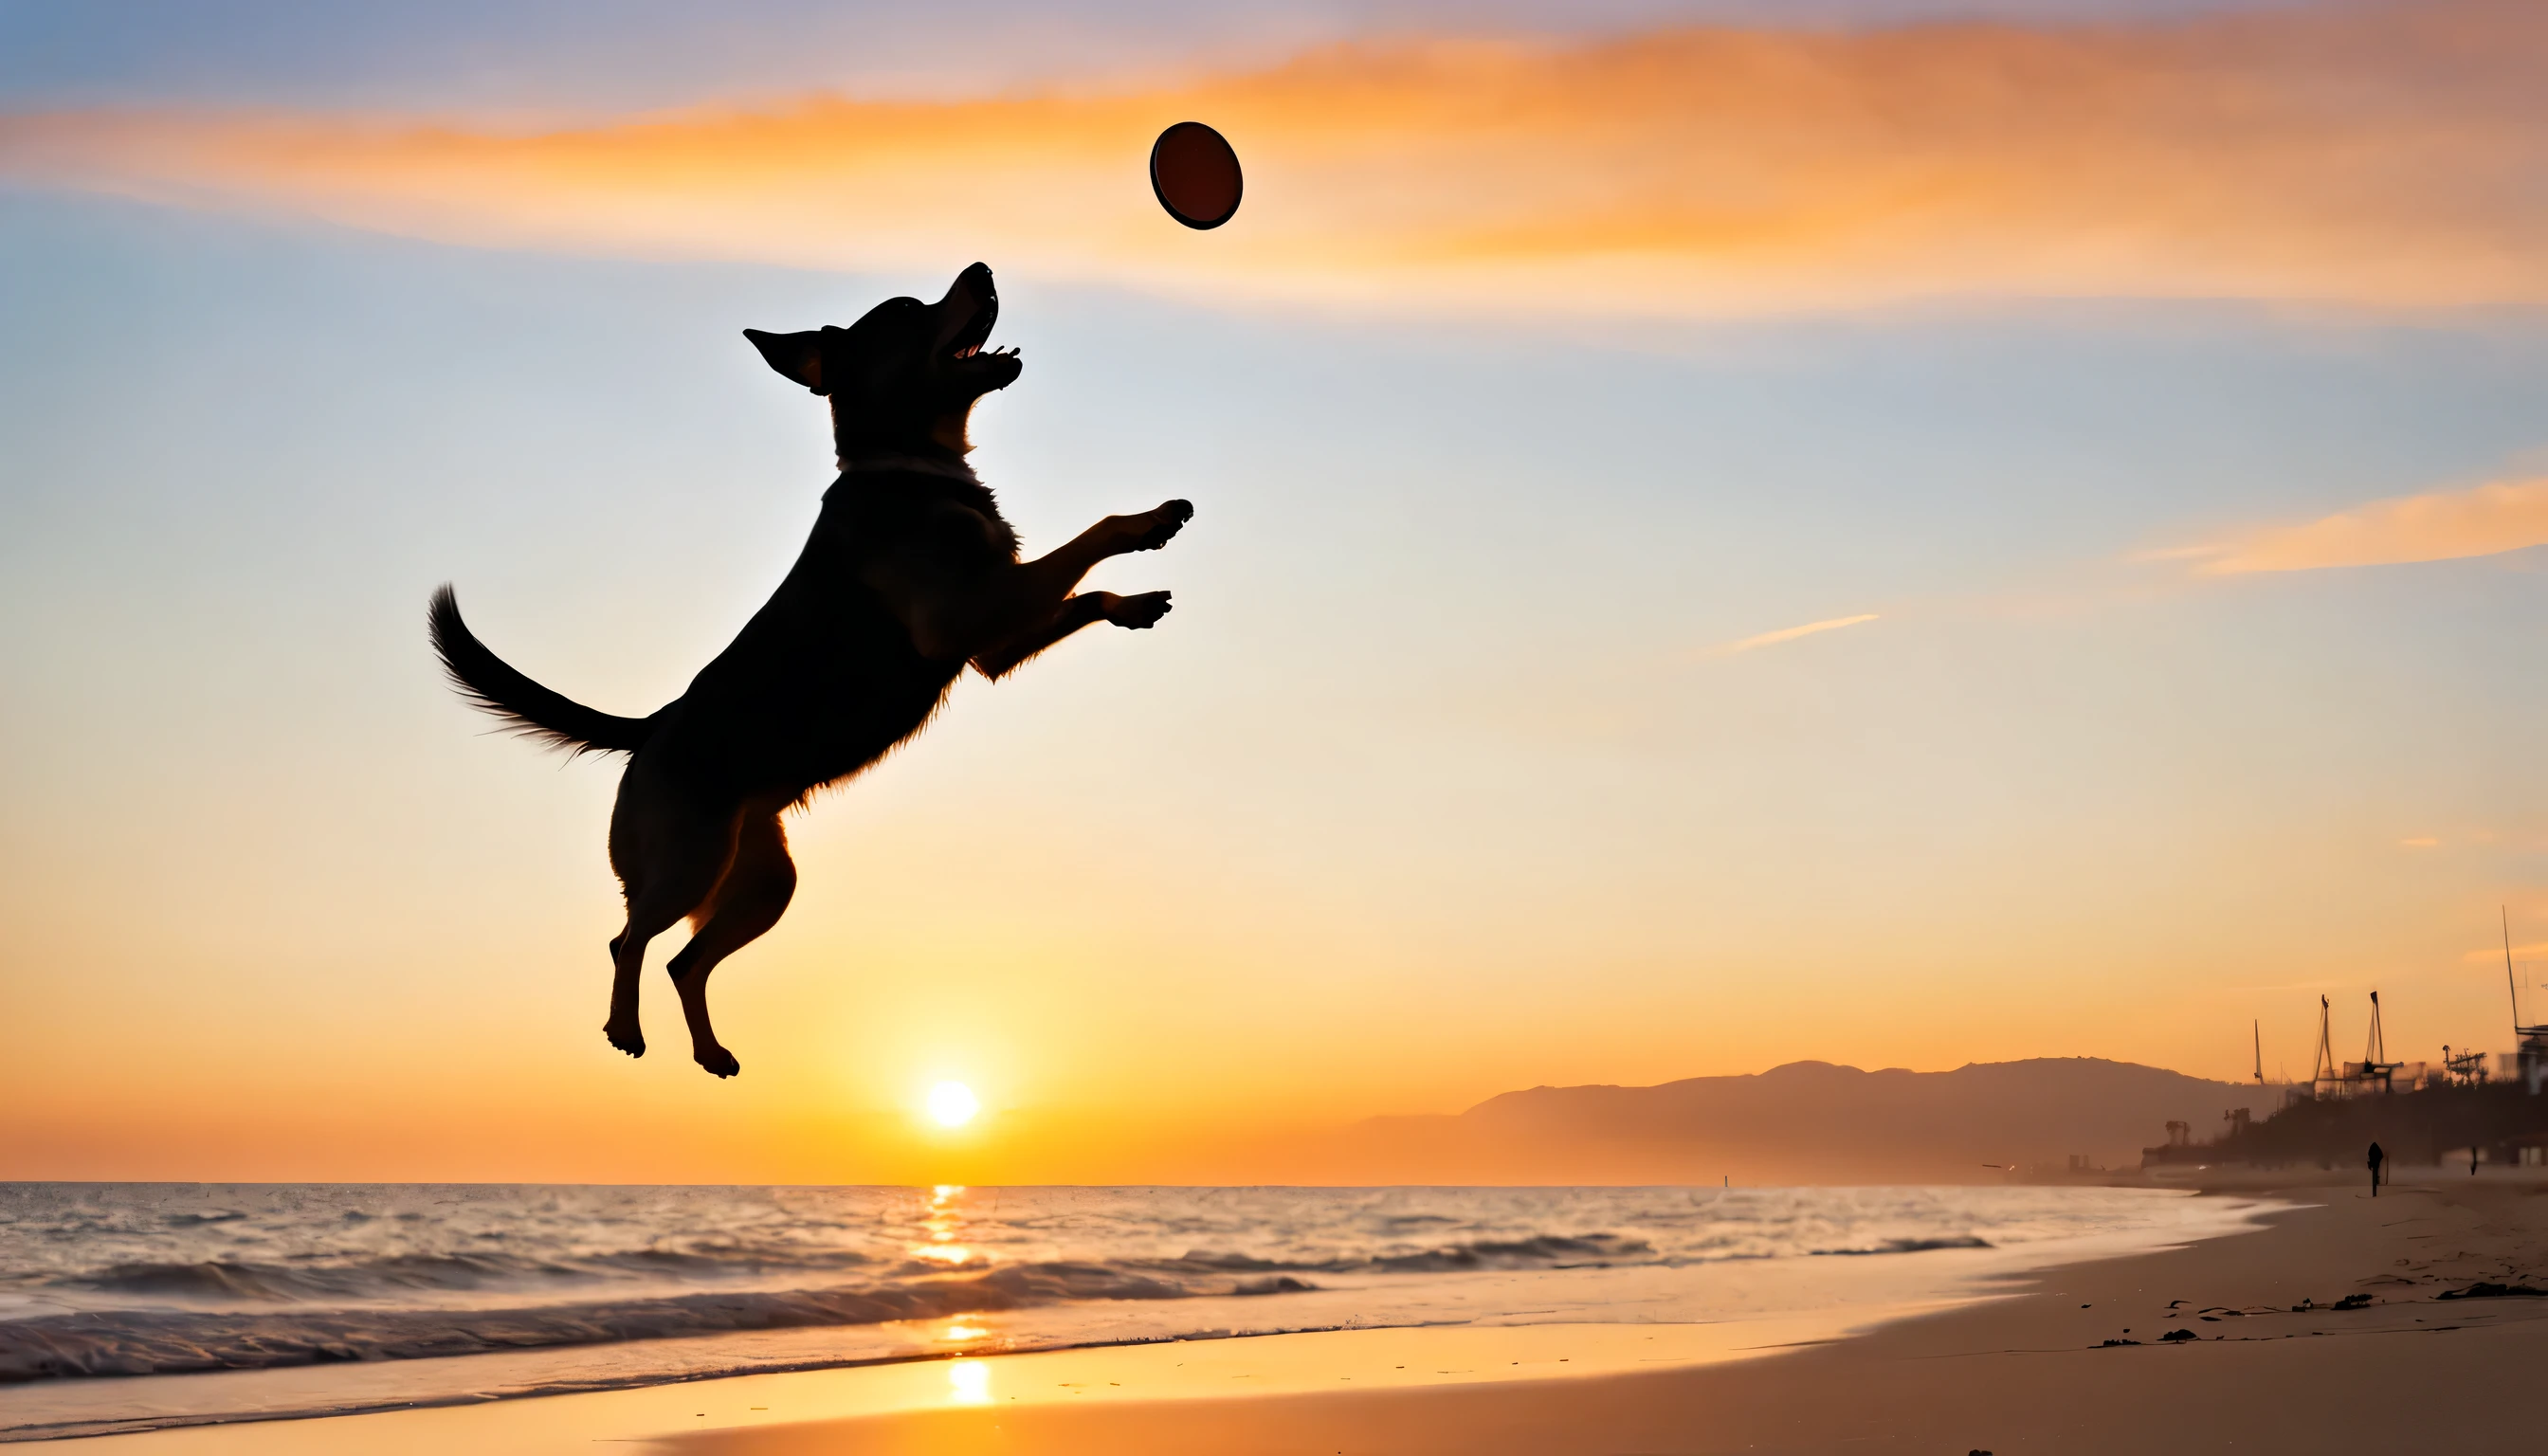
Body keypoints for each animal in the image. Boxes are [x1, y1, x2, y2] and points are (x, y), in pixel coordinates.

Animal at [428, 263, 1192, 1081]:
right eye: (907, 311)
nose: (982, 268)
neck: (912, 466)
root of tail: (651, 728)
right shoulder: (963, 618)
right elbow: (1092, 536)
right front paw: (1149, 523)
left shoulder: (991, 641)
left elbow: (1083, 592)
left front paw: (1135, 603)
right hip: (687, 861)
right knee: (627, 939)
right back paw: (624, 1028)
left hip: (763, 879)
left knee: (683, 961)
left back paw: (709, 1052)